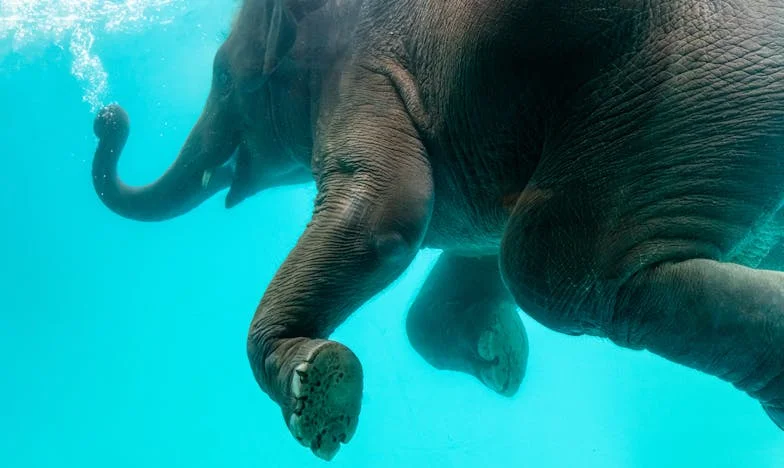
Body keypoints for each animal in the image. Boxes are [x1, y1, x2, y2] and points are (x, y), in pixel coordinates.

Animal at [92, 0, 784, 460]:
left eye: (224, 76)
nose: (107, 116)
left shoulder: (364, 74)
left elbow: (389, 215)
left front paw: (318, 387)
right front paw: (499, 359)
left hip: (692, 85)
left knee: (557, 267)